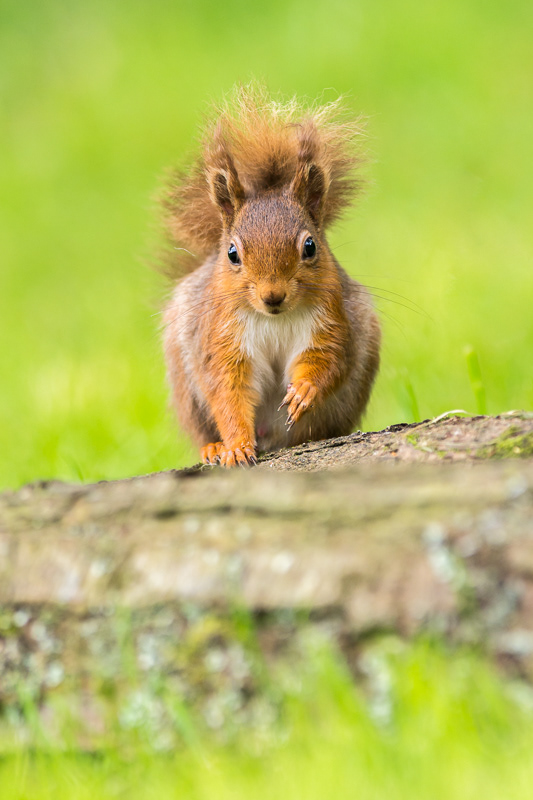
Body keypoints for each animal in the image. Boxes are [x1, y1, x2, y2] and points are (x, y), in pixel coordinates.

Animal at [161, 85, 381, 467]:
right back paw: (213, 447)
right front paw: (235, 446)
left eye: (310, 246)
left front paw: (304, 391)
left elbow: (329, 361)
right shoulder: (221, 336)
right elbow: (228, 392)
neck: (274, 319)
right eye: (232, 253)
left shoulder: (331, 320)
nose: (273, 296)